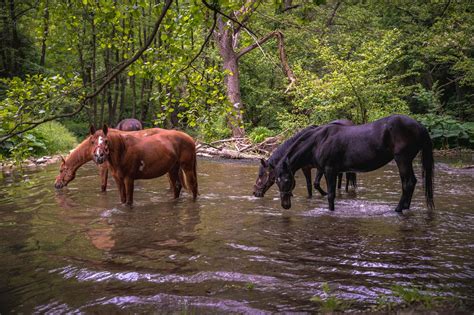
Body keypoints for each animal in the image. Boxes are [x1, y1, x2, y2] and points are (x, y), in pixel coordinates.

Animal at [274, 115, 434, 214]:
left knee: (408, 183)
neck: (319, 141)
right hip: (407, 160)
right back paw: (406, 207)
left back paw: (398, 209)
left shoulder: (330, 170)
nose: (285, 204)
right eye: (277, 181)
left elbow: (331, 195)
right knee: (412, 182)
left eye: (287, 180)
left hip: (402, 159)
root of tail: (419, 125)